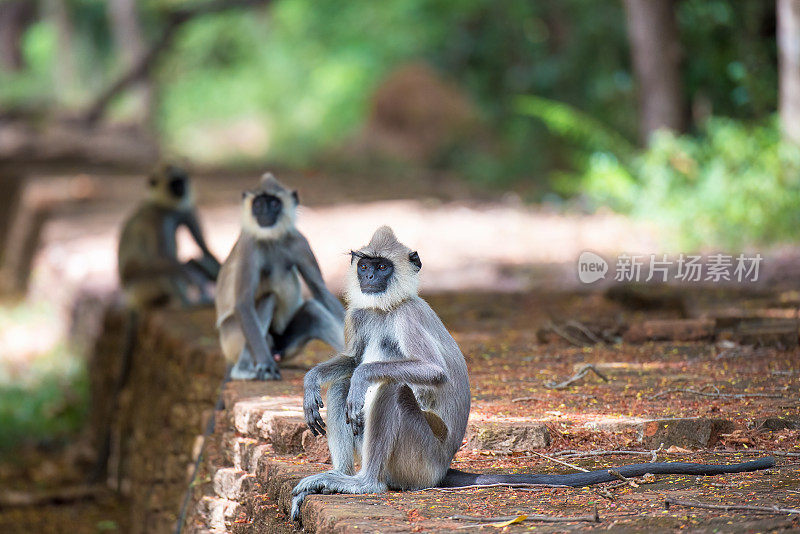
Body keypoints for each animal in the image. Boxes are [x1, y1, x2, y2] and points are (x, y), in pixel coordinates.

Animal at [214, 174, 346, 384]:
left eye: (274, 203)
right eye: (259, 204)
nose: (265, 211)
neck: (271, 239)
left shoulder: (301, 242)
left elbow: (321, 292)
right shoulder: (249, 245)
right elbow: (243, 303)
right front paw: (266, 366)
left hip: (285, 347)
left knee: (313, 310)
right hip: (231, 338)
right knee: (269, 298)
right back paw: (245, 369)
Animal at [290, 227, 772, 524]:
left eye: (383, 266)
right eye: (365, 264)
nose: (370, 275)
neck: (385, 308)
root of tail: (443, 469)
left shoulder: (407, 314)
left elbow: (424, 372)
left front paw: (361, 380)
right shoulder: (360, 313)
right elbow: (351, 360)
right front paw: (311, 381)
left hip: (419, 458)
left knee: (384, 386)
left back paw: (362, 483)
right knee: (344, 385)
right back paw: (336, 471)